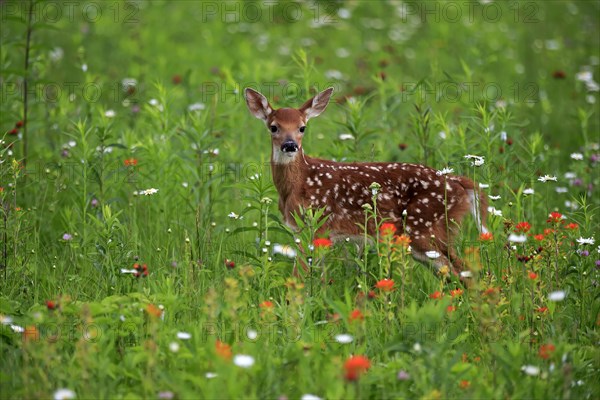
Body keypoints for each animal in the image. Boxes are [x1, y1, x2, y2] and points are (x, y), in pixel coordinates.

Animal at [244, 86, 488, 276]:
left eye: (302, 127)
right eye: (273, 127)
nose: (290, 145)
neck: (298, 184)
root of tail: (458, 182)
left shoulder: (319, 223)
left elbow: (302, 272)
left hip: (424, 227)